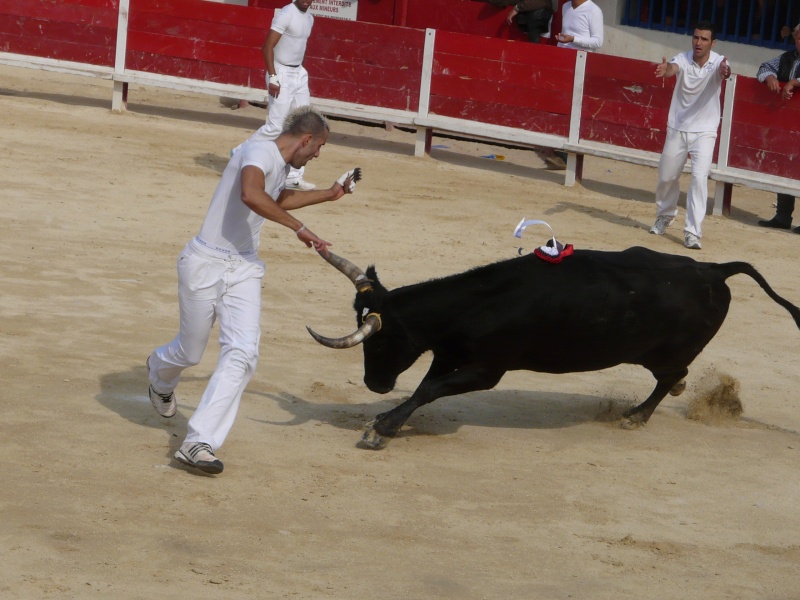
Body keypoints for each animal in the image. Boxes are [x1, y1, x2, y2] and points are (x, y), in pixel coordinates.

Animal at [308, 246, 800, 448]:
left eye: (382, 340)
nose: (374, 383)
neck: (479, 304)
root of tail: (714, 269)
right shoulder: (451, 356)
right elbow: (424, 389)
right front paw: (386, 420)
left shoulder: (488, 370)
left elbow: (427, 391)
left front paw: (381, 429)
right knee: (672, 380)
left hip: (671, 352)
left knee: (669, 379)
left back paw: (635, 417)